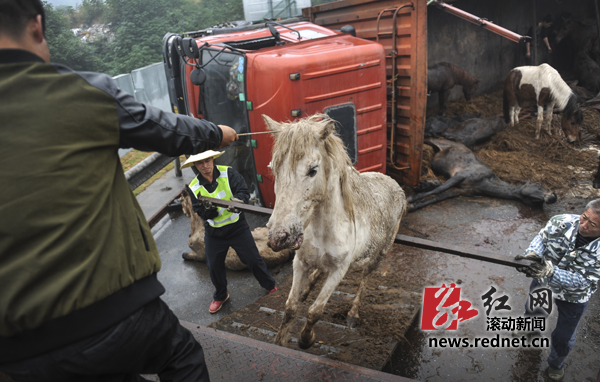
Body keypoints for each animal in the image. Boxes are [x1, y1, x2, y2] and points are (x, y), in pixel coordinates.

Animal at [264, 113, 408, 350]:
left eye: (313, 170)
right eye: (274, 169)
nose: (278, 237)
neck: (323, 229)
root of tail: (396, 185)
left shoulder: (338, 271)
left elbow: (315, 311)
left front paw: (306, 339)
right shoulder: (300, 263)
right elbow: (291, 307)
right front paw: (280, 340)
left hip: (379, 256)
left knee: (365, 279)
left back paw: (353, 314)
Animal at [408, 138, 556, 212]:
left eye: (538, 204)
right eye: (538, 184)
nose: (553, 196)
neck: (484, 183)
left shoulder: (460, 190)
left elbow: (438, 197)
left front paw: (412, 207)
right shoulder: (460, 175)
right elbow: (438, 190)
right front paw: (410, 199)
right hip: (433, 141)